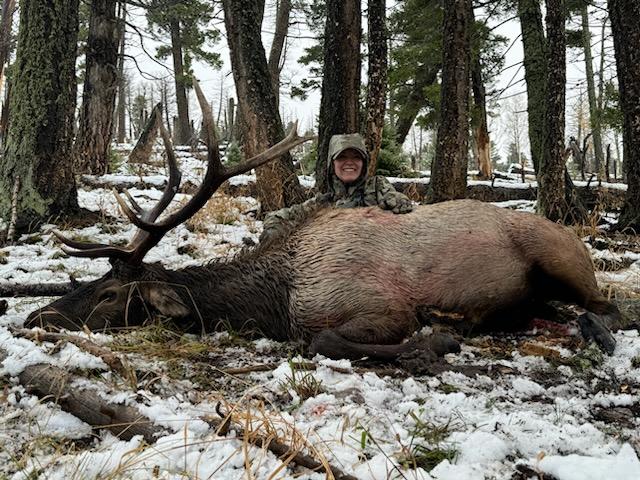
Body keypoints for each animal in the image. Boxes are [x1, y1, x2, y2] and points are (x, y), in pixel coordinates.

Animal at [25, 81, 620, 364]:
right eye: (95, 280)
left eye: (108, 295)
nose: (37, 316)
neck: (276, 298)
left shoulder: (381, 307)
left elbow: (324, 340)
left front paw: (439, 340)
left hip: (563, 258)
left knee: (607, 305)